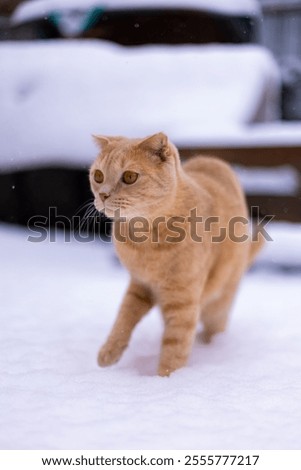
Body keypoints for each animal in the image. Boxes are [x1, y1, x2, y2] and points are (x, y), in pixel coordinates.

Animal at [89, 131, 262, 374]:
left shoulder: (183, 299)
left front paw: (168, 379)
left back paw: (212, 347)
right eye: (98, 175)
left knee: (215, 325)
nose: (103, 194)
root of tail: (213, 160)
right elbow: (123, 317)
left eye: (130, 177)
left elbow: (175, 344)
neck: (145, 240)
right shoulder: (140, 285)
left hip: (219, 300)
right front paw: (110, 351)